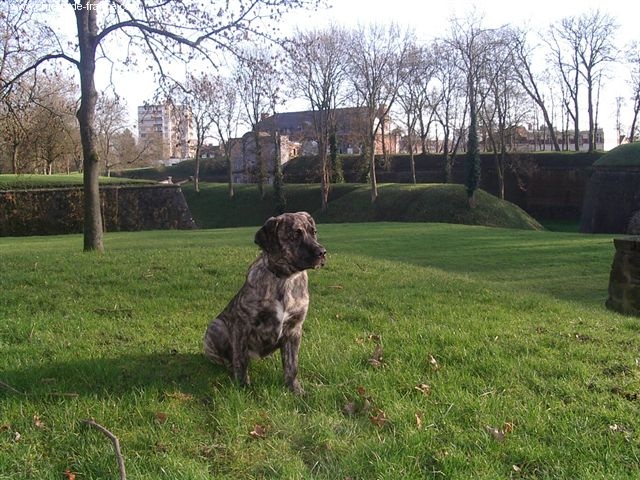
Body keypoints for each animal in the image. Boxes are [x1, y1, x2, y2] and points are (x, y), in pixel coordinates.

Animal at [203, 212, 326, 394]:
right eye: (295, 235)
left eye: (314, 232)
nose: (322, 252)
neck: (285, 279)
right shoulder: (242, 325)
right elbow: (240, 359)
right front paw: (243, 386)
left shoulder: (294, 329)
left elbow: (292, 365)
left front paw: (295, 390)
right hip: (216, 327)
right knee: (227, 358)